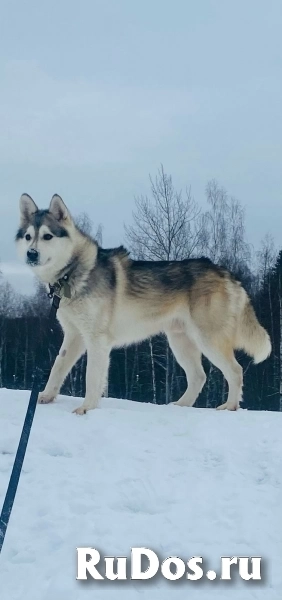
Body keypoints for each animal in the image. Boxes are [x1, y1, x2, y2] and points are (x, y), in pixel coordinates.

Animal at [16, 195, 270, 414]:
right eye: (28, 237)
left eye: (47, 236)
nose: (31, 254)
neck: (73, 272)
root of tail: (226, 273)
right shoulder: (74, 335)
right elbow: (58, 367)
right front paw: (46, 396)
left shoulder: (97, 339)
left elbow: (91, 377)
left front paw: (86, 408)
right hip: (180, 341)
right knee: (199, 376)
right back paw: (180, 406)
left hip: (208, 339)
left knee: (235, 371)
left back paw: (230, 406)